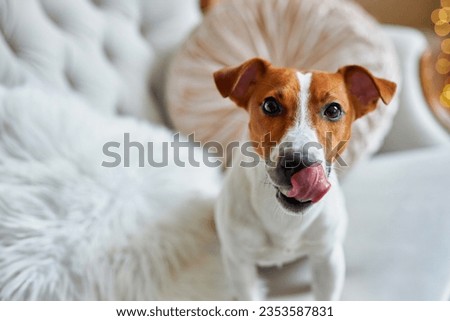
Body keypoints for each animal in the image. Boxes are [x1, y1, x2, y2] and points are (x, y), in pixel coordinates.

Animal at [213, 57, 396, 300]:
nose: (298, 162)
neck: (284, 219)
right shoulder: (240, 265)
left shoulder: (327, 258)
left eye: (334, 109)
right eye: (270, 105)